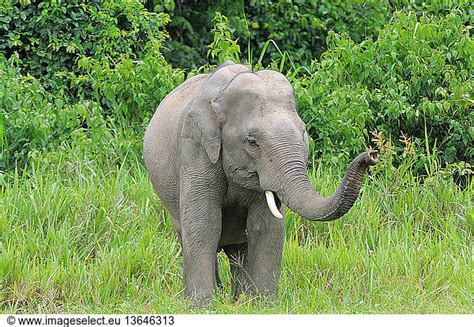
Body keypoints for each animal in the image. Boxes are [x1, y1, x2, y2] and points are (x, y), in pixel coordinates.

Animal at [144, 60, 378, 304]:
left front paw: (265, 304)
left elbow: (266, 227)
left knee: (239, 249)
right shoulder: (195, 149)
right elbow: (205, 224)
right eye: (252, 142)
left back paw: (239, 300)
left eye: (304, 134)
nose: (371, 155)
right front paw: (203, 305)